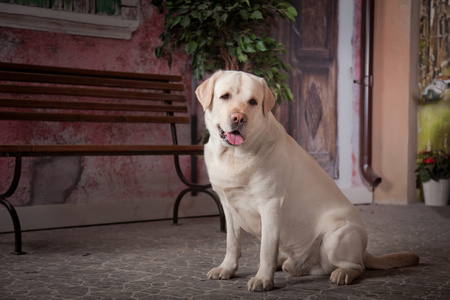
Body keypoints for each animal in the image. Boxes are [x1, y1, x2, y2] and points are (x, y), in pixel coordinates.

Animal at [195, 70, 420, 290]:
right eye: (225, 96)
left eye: (253, 102)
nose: (239, 118)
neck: (234, 156)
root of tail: (364, 250)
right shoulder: (229, 207)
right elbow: (232, 243)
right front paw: (227, 269)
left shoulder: (270, 206)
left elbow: (266, 250)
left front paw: (263, 279)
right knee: (309, 266)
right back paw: (289, 264)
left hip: (336, 236)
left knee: (357, 266)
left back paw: (343, 273)